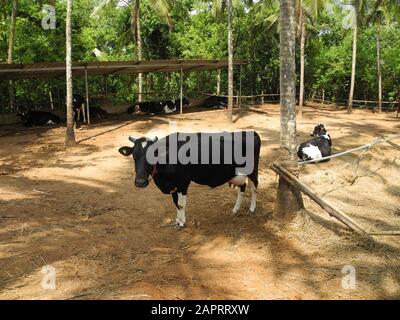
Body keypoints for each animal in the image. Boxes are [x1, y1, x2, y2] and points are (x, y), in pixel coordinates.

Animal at [118, 131, 262, 229]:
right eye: (134, 155)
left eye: (153, 155)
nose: (140, 182)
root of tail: (251, 132)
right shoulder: (173, 185)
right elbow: (176, 203)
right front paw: (177, 220)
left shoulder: (183, 182)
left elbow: (181, 204)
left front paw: (181, 223)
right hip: (237, 174)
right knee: (242, 187)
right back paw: (235, 209)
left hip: (252, 170)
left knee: (254, 187)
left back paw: (252, 209)